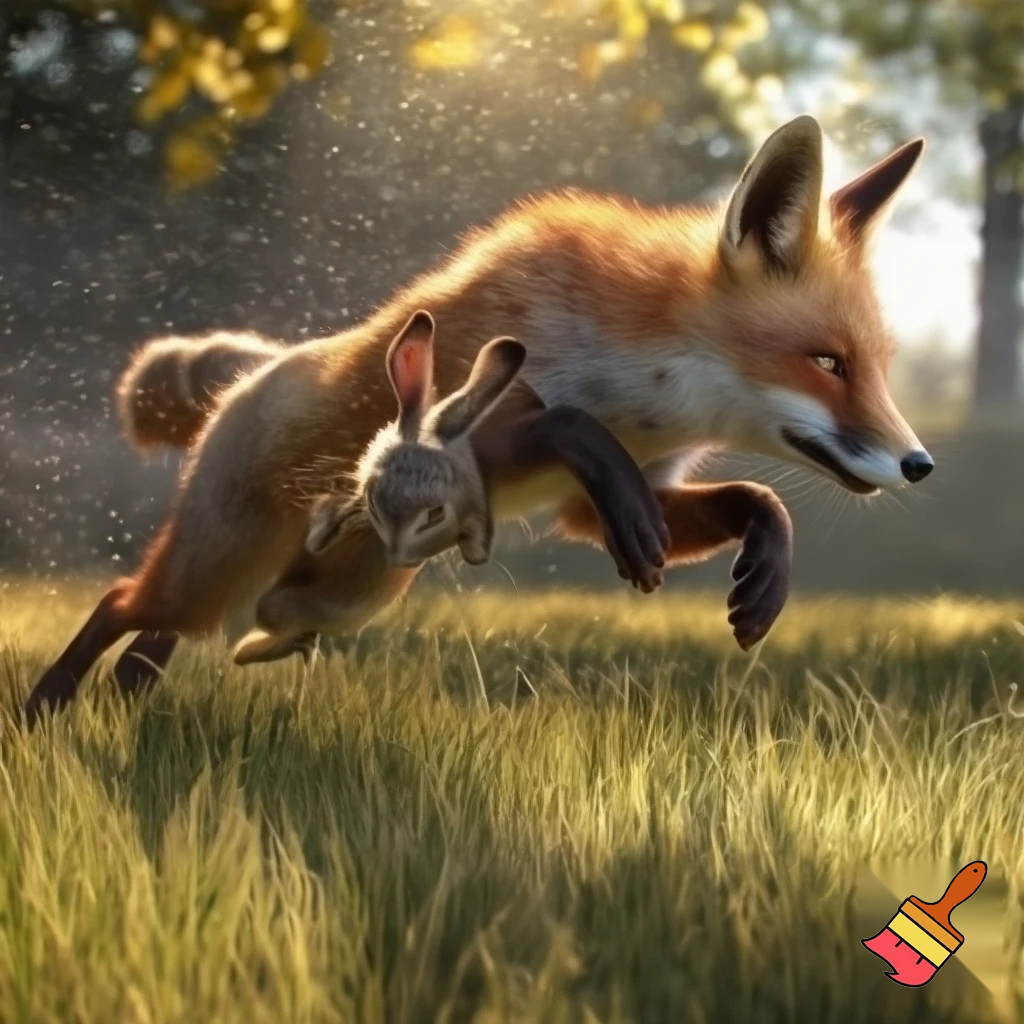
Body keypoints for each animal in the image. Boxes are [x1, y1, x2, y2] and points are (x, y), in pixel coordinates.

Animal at [25, 113, 933, 725]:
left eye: (876, 365)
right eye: (828, 363)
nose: (919, 465)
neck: (649, 398)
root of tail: (255, 374)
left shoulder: (594, 500)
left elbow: (760, 501)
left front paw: (763, 582)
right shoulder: (446, 423)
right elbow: (565, 427)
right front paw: (636, 520)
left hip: (339, 595)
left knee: (188, 637)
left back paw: (149, 694)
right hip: (223, 575)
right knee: (121, 602)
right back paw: (45, 705)